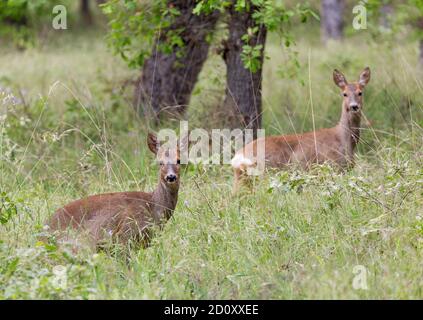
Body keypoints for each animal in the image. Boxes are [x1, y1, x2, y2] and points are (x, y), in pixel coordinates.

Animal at [232, 66, 372, 191]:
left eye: (360, 93)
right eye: (345, 94)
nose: (354, 106)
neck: (344, 138)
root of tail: (238, 157)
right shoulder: (333, 165)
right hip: (266, 171)